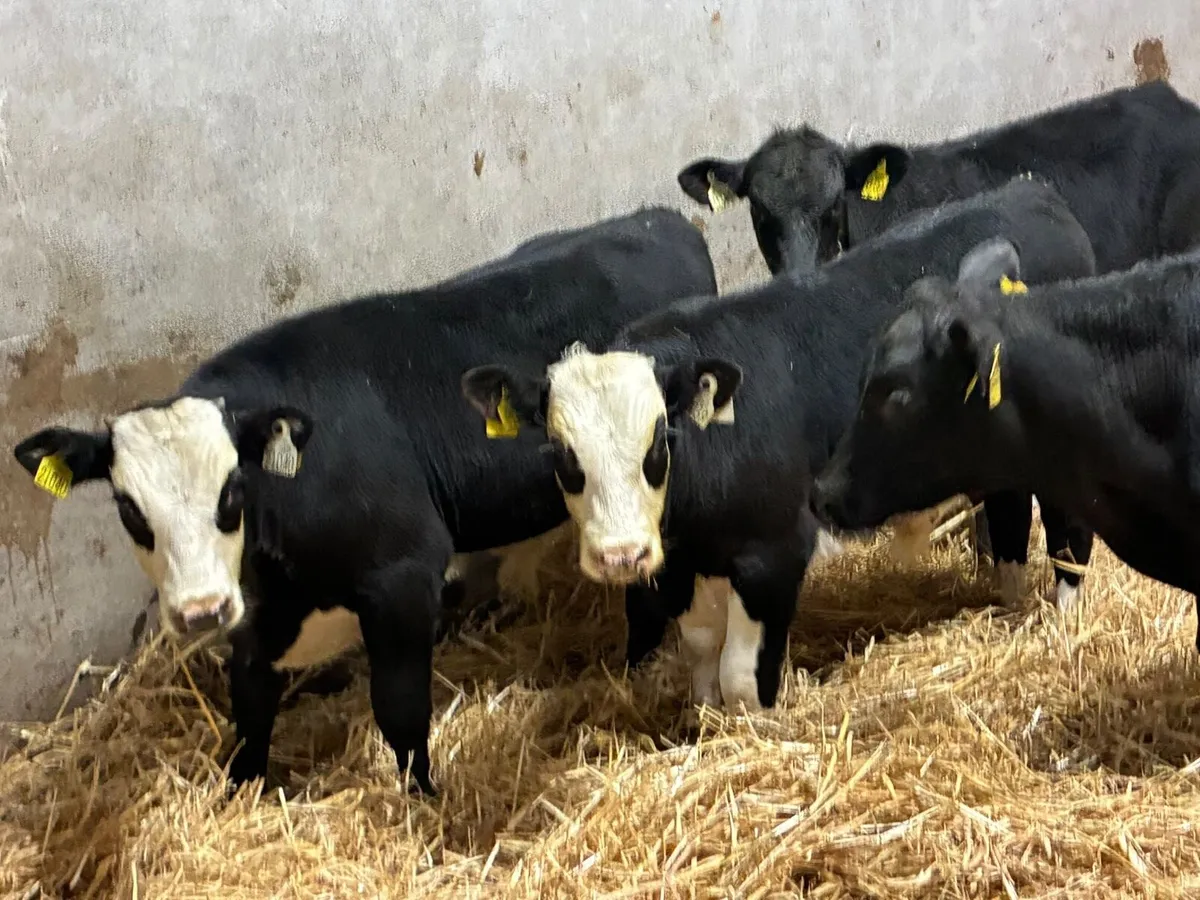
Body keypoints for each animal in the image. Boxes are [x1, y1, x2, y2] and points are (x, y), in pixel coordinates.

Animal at [12, 206, 718, 797]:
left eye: (231, 489)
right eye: (129, 508)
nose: (201, 610)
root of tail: (657, 217)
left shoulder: (404, 570)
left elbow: (400, 711)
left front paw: (424, 800)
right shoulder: (260, 615)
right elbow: (250, 706)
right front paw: (240, 791)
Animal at [461, 176, 1097, 712]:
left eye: (658, 443)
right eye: (562, 455)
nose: (622, 556)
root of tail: (1031, 192)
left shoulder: (773, 550)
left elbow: (742, 676)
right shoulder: (685, 564)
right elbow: (701, 648)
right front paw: (705, 718)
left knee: (1068, 533)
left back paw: (1065, 614)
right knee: (1010, 517)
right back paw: (1009, 604)